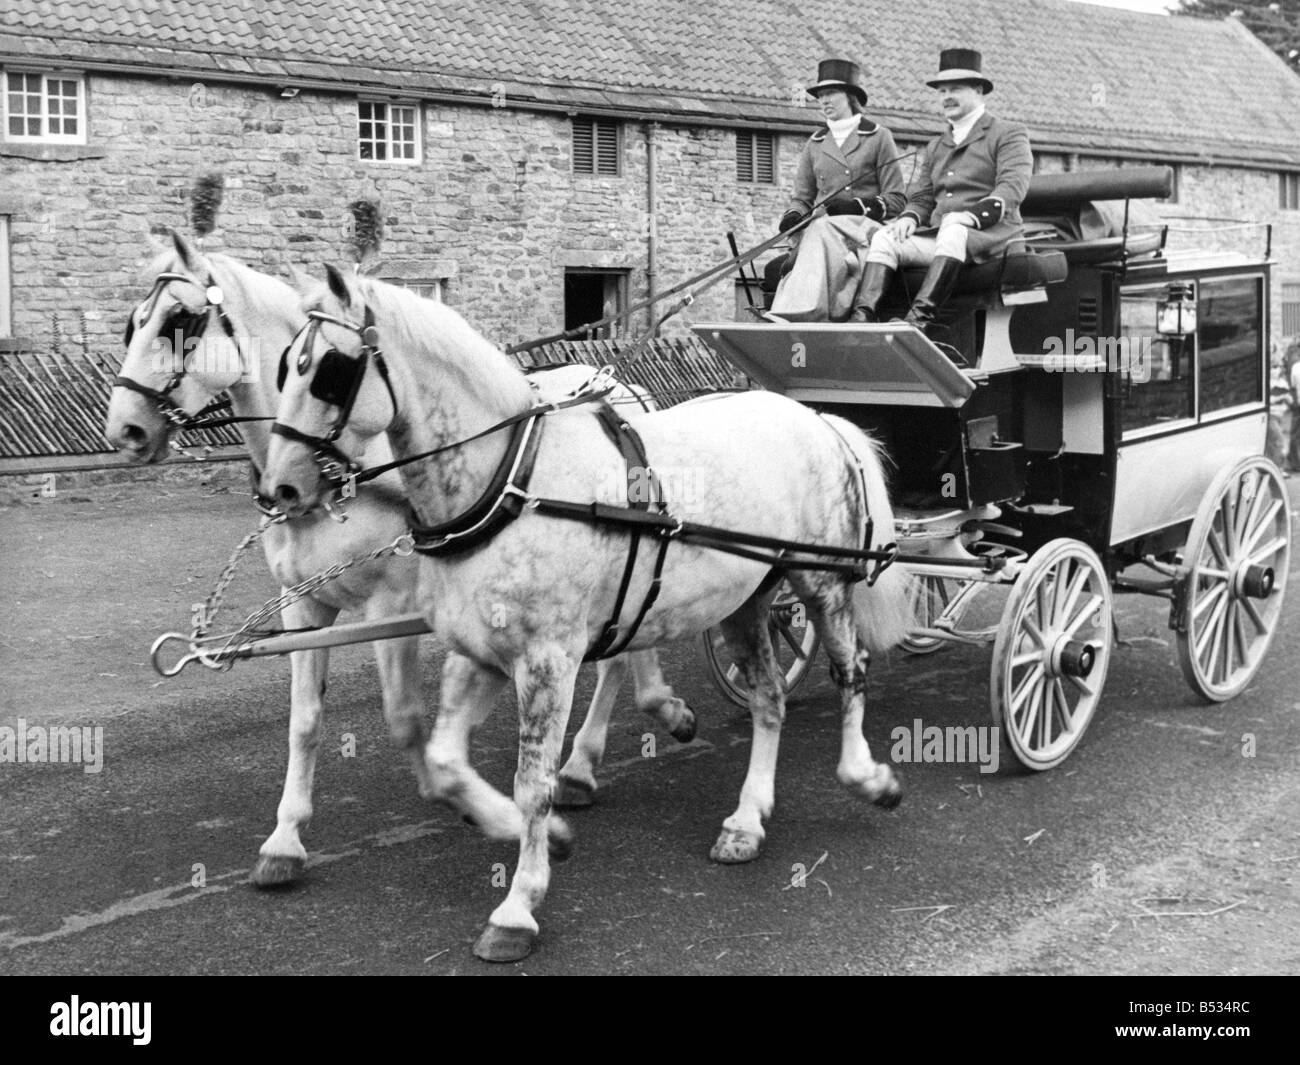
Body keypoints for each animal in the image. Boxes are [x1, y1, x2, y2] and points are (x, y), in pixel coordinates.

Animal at [102, 237, 702, 889]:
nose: (125, 430)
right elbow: (305, 720)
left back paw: (590, 757)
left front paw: (484, 811)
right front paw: (286, 840)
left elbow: (405, 717)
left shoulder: (389, 604)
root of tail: (618, 383)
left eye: (178, 322)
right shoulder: (302, 606)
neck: (345, 474)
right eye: (133, 322)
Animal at [261, 266, 915, 967]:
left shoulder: (547, 660)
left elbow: (532, 781)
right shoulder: (481, 654)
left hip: (821, 579)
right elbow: (445, 764)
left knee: (850, 670)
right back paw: (747, 820)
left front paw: (518, 906)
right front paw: (541, 833)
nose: (279, 489)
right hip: (746, 602)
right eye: (286, 364)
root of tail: (817, 418)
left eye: (331, 371)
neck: (513, 483)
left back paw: (866, 776)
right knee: (769, 699)